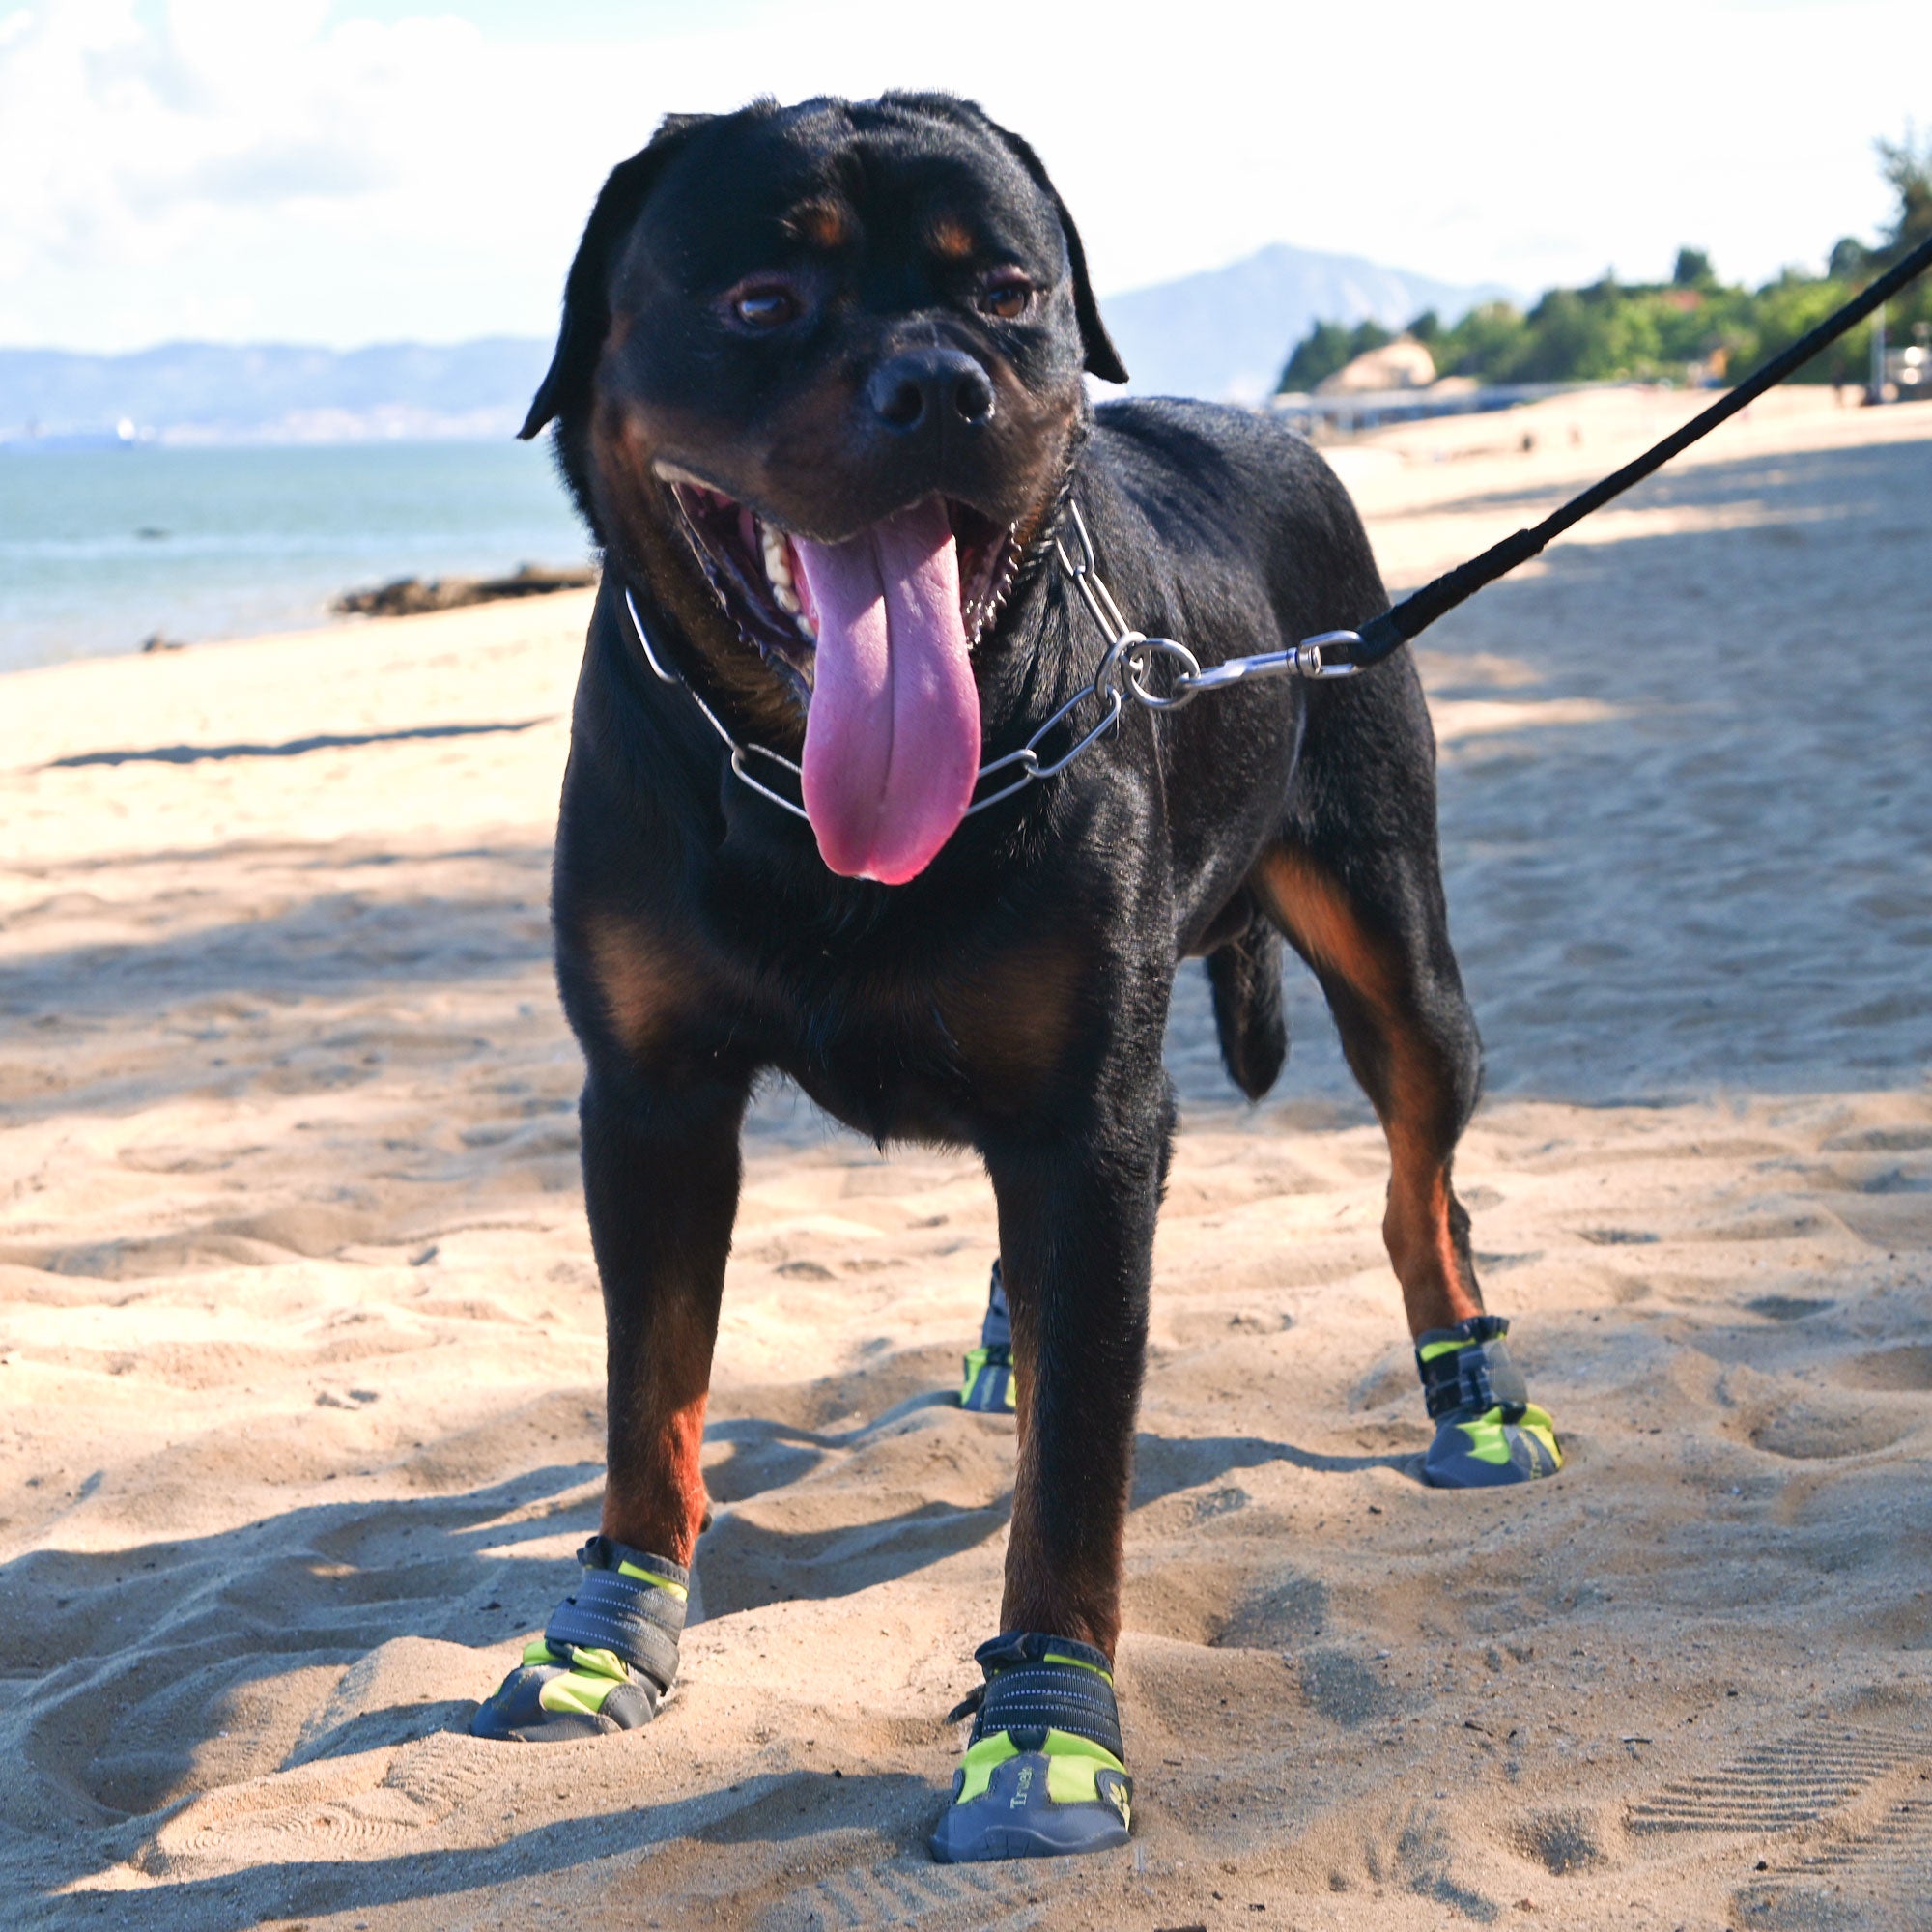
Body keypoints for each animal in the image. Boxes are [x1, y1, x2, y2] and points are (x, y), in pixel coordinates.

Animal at [475, 87, 1561, 1855]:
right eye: (760, 299)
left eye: (1006, 293)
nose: (938, 386)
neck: (808, 803)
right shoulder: (646, 1098)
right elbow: (651, 1391)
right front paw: (611, 1626)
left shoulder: (1089, 1126)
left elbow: (1076, 1473)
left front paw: (1046, 1729)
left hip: (1397, 934)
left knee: (1422, 1179)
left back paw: (1471, 1385)